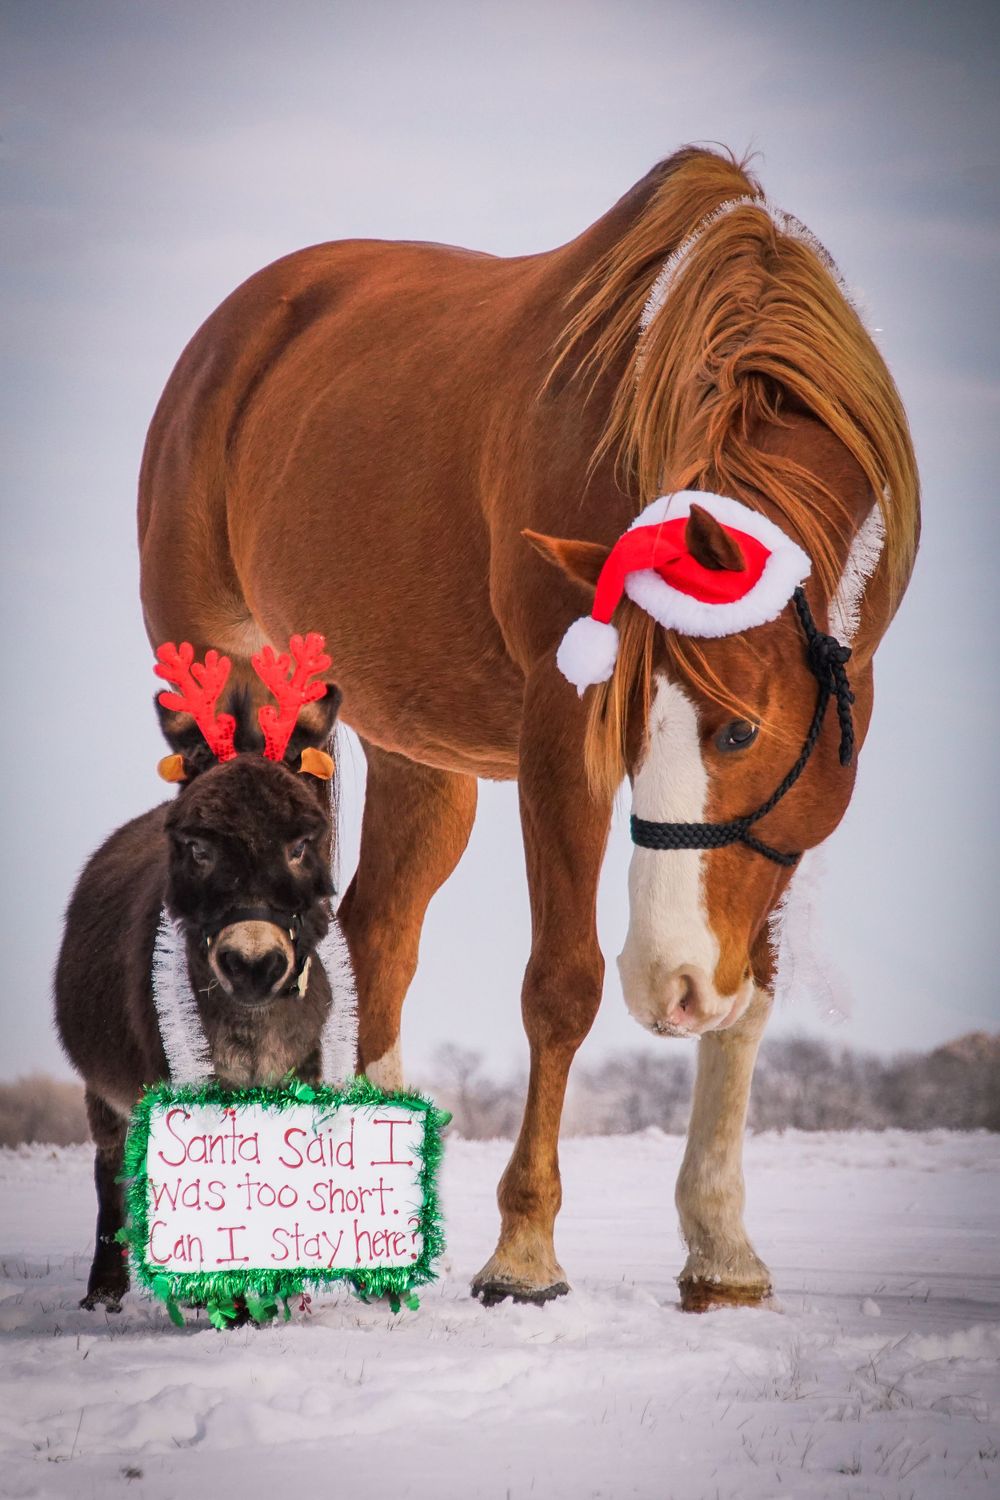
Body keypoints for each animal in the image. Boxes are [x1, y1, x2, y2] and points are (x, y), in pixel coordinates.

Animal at [137, 146, 919, 1311]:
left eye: (738, 733)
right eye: (621, 728)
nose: (669, 984)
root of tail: (235, 332)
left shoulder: (810, 782)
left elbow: (754, 993)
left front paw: (721, 1246)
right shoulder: (559, 734)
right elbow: (562, 985)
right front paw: (525, 1250)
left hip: (417, 755)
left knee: (377, 933)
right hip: (225, 691)